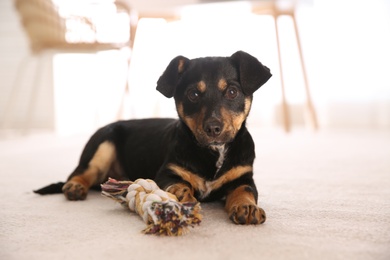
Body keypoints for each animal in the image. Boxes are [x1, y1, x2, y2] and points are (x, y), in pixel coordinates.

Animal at [35, 51, 272, 225]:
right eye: (193, 94)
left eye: (232, 92)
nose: (213, 128)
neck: (214, 152)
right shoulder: (166, 172)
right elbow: (179, 184)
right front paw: (182, 195)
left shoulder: (244, 178)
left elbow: (244, 191)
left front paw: (247, 207)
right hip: (102, 146)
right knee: (81, 172)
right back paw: (75, 187)